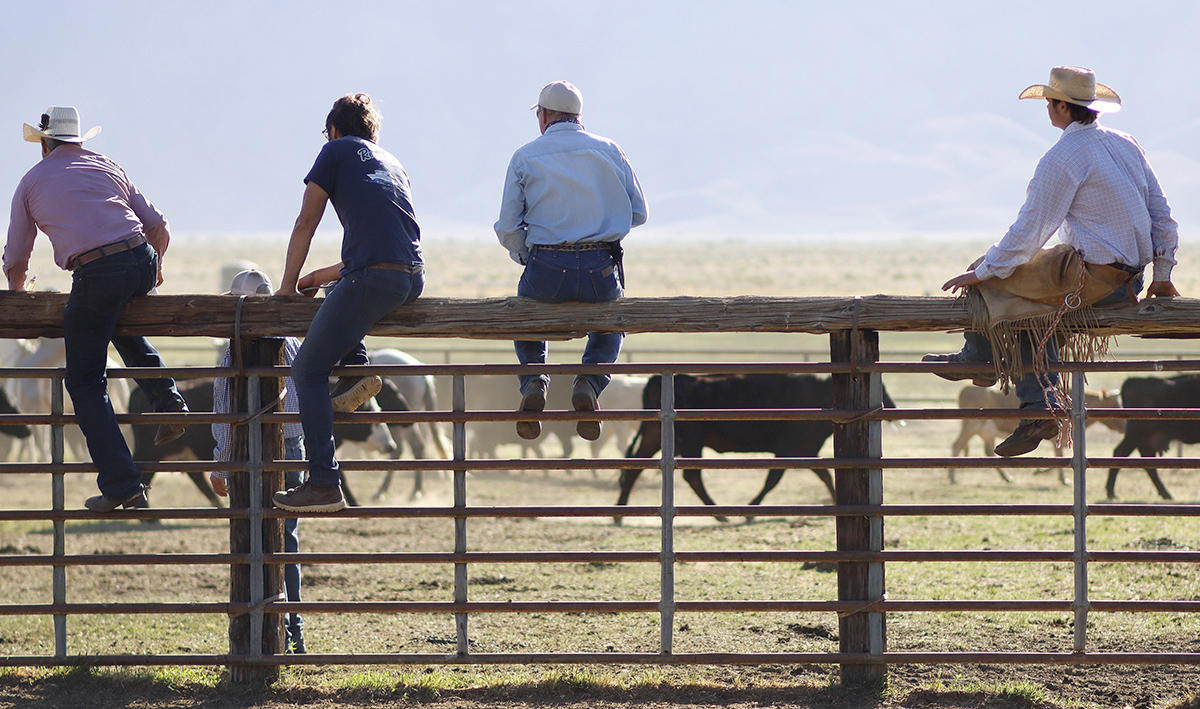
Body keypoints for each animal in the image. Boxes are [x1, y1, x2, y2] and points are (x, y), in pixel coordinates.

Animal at [362, 350, 451, 499]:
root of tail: (424, 378)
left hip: (399, 424)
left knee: (403, 449)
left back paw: (386, 490)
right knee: (415, 447)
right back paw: (415, 489)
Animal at [619, 374, 892, 525]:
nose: (890, 405)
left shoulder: (804, 450)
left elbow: (823, 474)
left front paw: (837, 501)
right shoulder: (788, 450)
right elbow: (773, 479)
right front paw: (751, 509)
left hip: (654, 435)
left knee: (635, 467)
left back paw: (620, 512)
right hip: (690, 442)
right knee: (692, 476)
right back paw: (719, 514)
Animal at [945, 386, 1123, 484]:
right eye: (1113, 404)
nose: (1123, 427)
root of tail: (966, 389)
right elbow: (1059, 456)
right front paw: (1058, 477)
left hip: (985, 432)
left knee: (988, 452)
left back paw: (1006, 477)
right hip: (971, 426)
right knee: (957, 445)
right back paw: (952, 477)